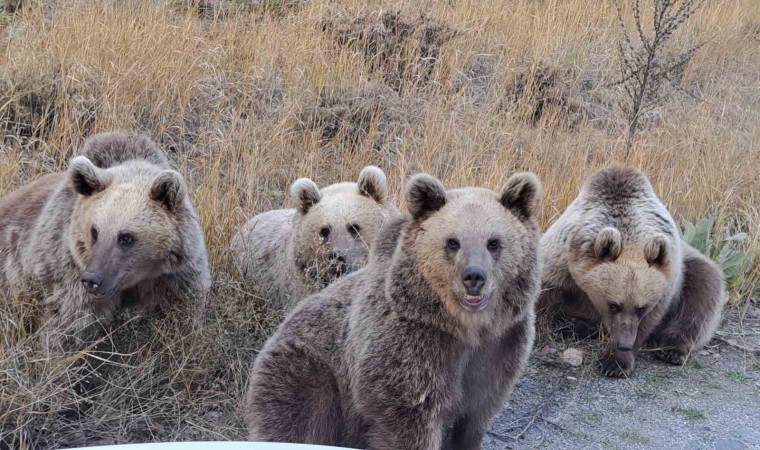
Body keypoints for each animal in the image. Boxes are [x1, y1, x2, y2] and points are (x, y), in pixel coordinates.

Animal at [0, 132, 211, 350]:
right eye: (94, 231)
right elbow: (66, 332)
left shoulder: (173, 277)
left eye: (125, 237)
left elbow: (179, 320)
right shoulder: (69, 279)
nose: (92, 279)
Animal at [243, 171, 540, 448]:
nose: (474, 277)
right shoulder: (409, 349)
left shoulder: (499, 350)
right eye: (453, 242)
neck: (465, 329)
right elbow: (409, 418)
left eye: (494, 242)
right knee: (295, 419)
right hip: (311, 373)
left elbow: (472, 420)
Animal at [540, 164, 724, 376]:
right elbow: (543, 292)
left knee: (703, 293)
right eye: (613, 305)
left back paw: (672, 350)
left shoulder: (667, 283)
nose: (624, 344)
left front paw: (615, 363)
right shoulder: (560, 260)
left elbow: (650, 320)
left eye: (641, 307)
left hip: (690, 267)